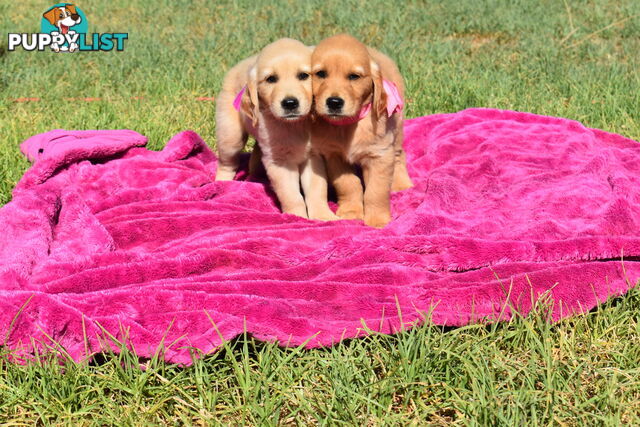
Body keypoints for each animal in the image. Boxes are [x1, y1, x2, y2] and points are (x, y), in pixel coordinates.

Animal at [216, 37, 338, 221]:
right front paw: (296, 217)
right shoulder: (280, 162)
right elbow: (292, 195)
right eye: (271, 79)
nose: (290, 103)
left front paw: (323, 215)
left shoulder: (313, 156)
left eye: (303, 75)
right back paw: (221, 185)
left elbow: (317, 190)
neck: (295, 125)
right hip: (230, 136)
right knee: (226, 163)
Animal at [310, 34, 416, 227]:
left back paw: (402, 185)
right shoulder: (334, 156)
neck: (348, 125)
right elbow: (349, 184)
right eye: (321, 74)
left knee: (399, 155)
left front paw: (377, 220)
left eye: (354, 76)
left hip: (396, 130)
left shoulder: (380, 156)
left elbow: (375, 191)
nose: (334, 102)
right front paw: (351, 211)